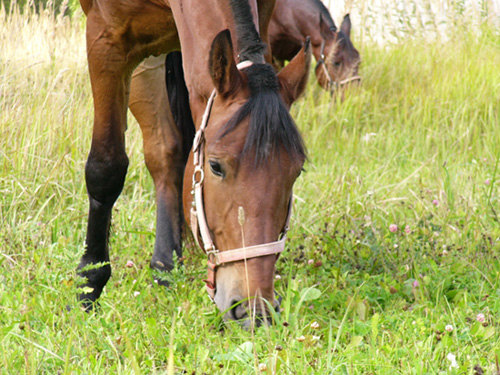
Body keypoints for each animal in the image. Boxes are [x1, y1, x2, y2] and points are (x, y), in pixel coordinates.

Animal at [76, 0, 310, 326]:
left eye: (296, 172)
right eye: (215, 166)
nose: (255, 310)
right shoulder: (106, 38)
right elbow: (106, 168)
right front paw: (89, 284)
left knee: (166, 153)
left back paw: (165, 266)